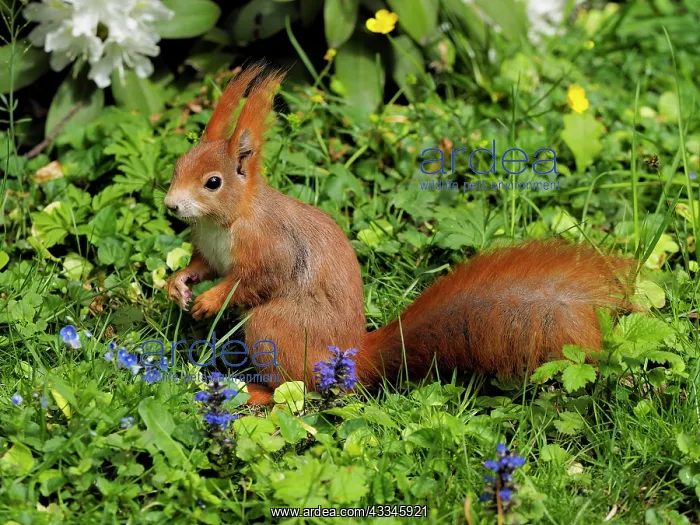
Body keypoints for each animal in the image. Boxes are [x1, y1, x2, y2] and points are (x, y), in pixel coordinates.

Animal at [164, 63, 636, 405]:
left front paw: (209, 301)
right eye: (177, 165)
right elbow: (202, 266)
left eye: (213, 183)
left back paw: (255, 392)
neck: (224, 221)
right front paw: (178, 285)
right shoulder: (209, 250)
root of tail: (353, 359)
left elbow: (256, 279)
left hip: (275, 328)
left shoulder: (271, 245)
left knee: (298, 391)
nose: (170, 205)